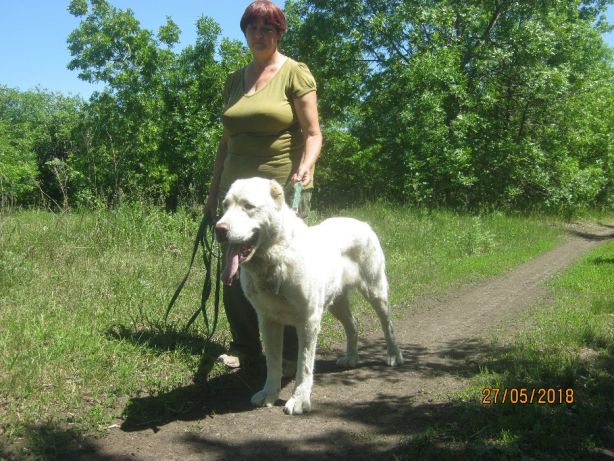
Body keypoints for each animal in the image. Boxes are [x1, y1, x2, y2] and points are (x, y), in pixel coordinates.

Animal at [215, 176, 404, 414]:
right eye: (225, 206)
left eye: (248, 206)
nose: (219, 229)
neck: (276, 259)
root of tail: (363, 223)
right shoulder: (267, 321)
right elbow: (273, 362)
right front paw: (269, 393)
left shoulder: (308, 321)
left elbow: (304, 364)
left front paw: (299, 399)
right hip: (336, 303)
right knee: (353, 325)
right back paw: (351, 358)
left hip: (375, 291)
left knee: (388, 324)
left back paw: (394, 355)